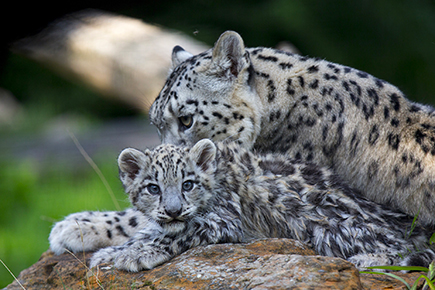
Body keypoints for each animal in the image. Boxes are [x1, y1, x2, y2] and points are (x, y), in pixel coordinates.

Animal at [48, 140, 435, 272]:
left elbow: (176, 232)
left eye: (188, 184)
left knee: (407, 250)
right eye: (153, 188)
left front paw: (129, 253)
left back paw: (368, 259)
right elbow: (138, 221)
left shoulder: (221, 221)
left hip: (330, 226)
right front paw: (83, 228)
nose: (173, 210)